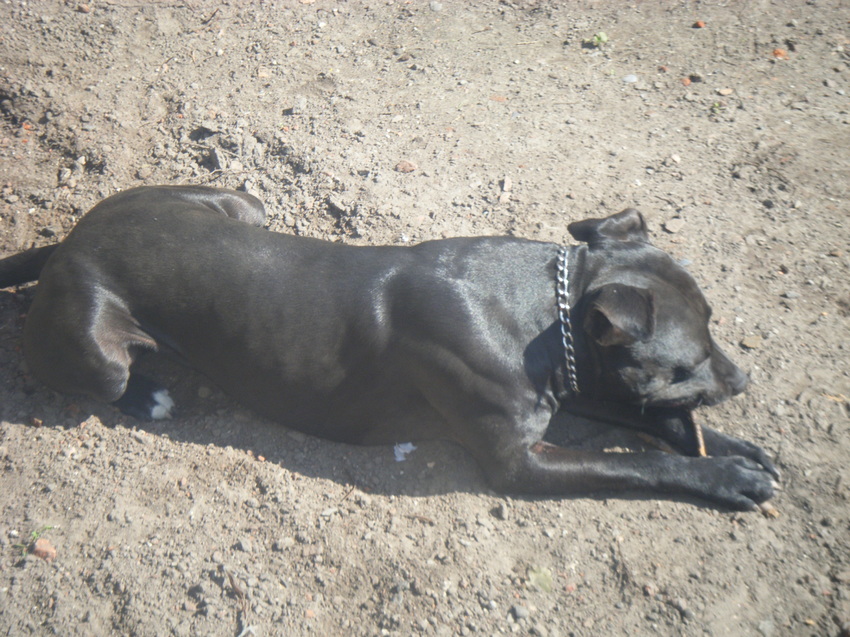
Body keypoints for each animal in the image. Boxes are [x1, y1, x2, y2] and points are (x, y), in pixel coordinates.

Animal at [0, 186, 778, 510]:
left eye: (714, 324)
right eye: (690, 359)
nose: (742, 378)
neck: (544, 314)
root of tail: (69, 241)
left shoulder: (579, 384)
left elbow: (641, 423)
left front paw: (738, 449)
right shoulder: (519, 463)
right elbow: (640, 462)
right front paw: (725, 477)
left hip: (240, 201)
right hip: (96, 350)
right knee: (103, 379)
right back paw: (152, 393)